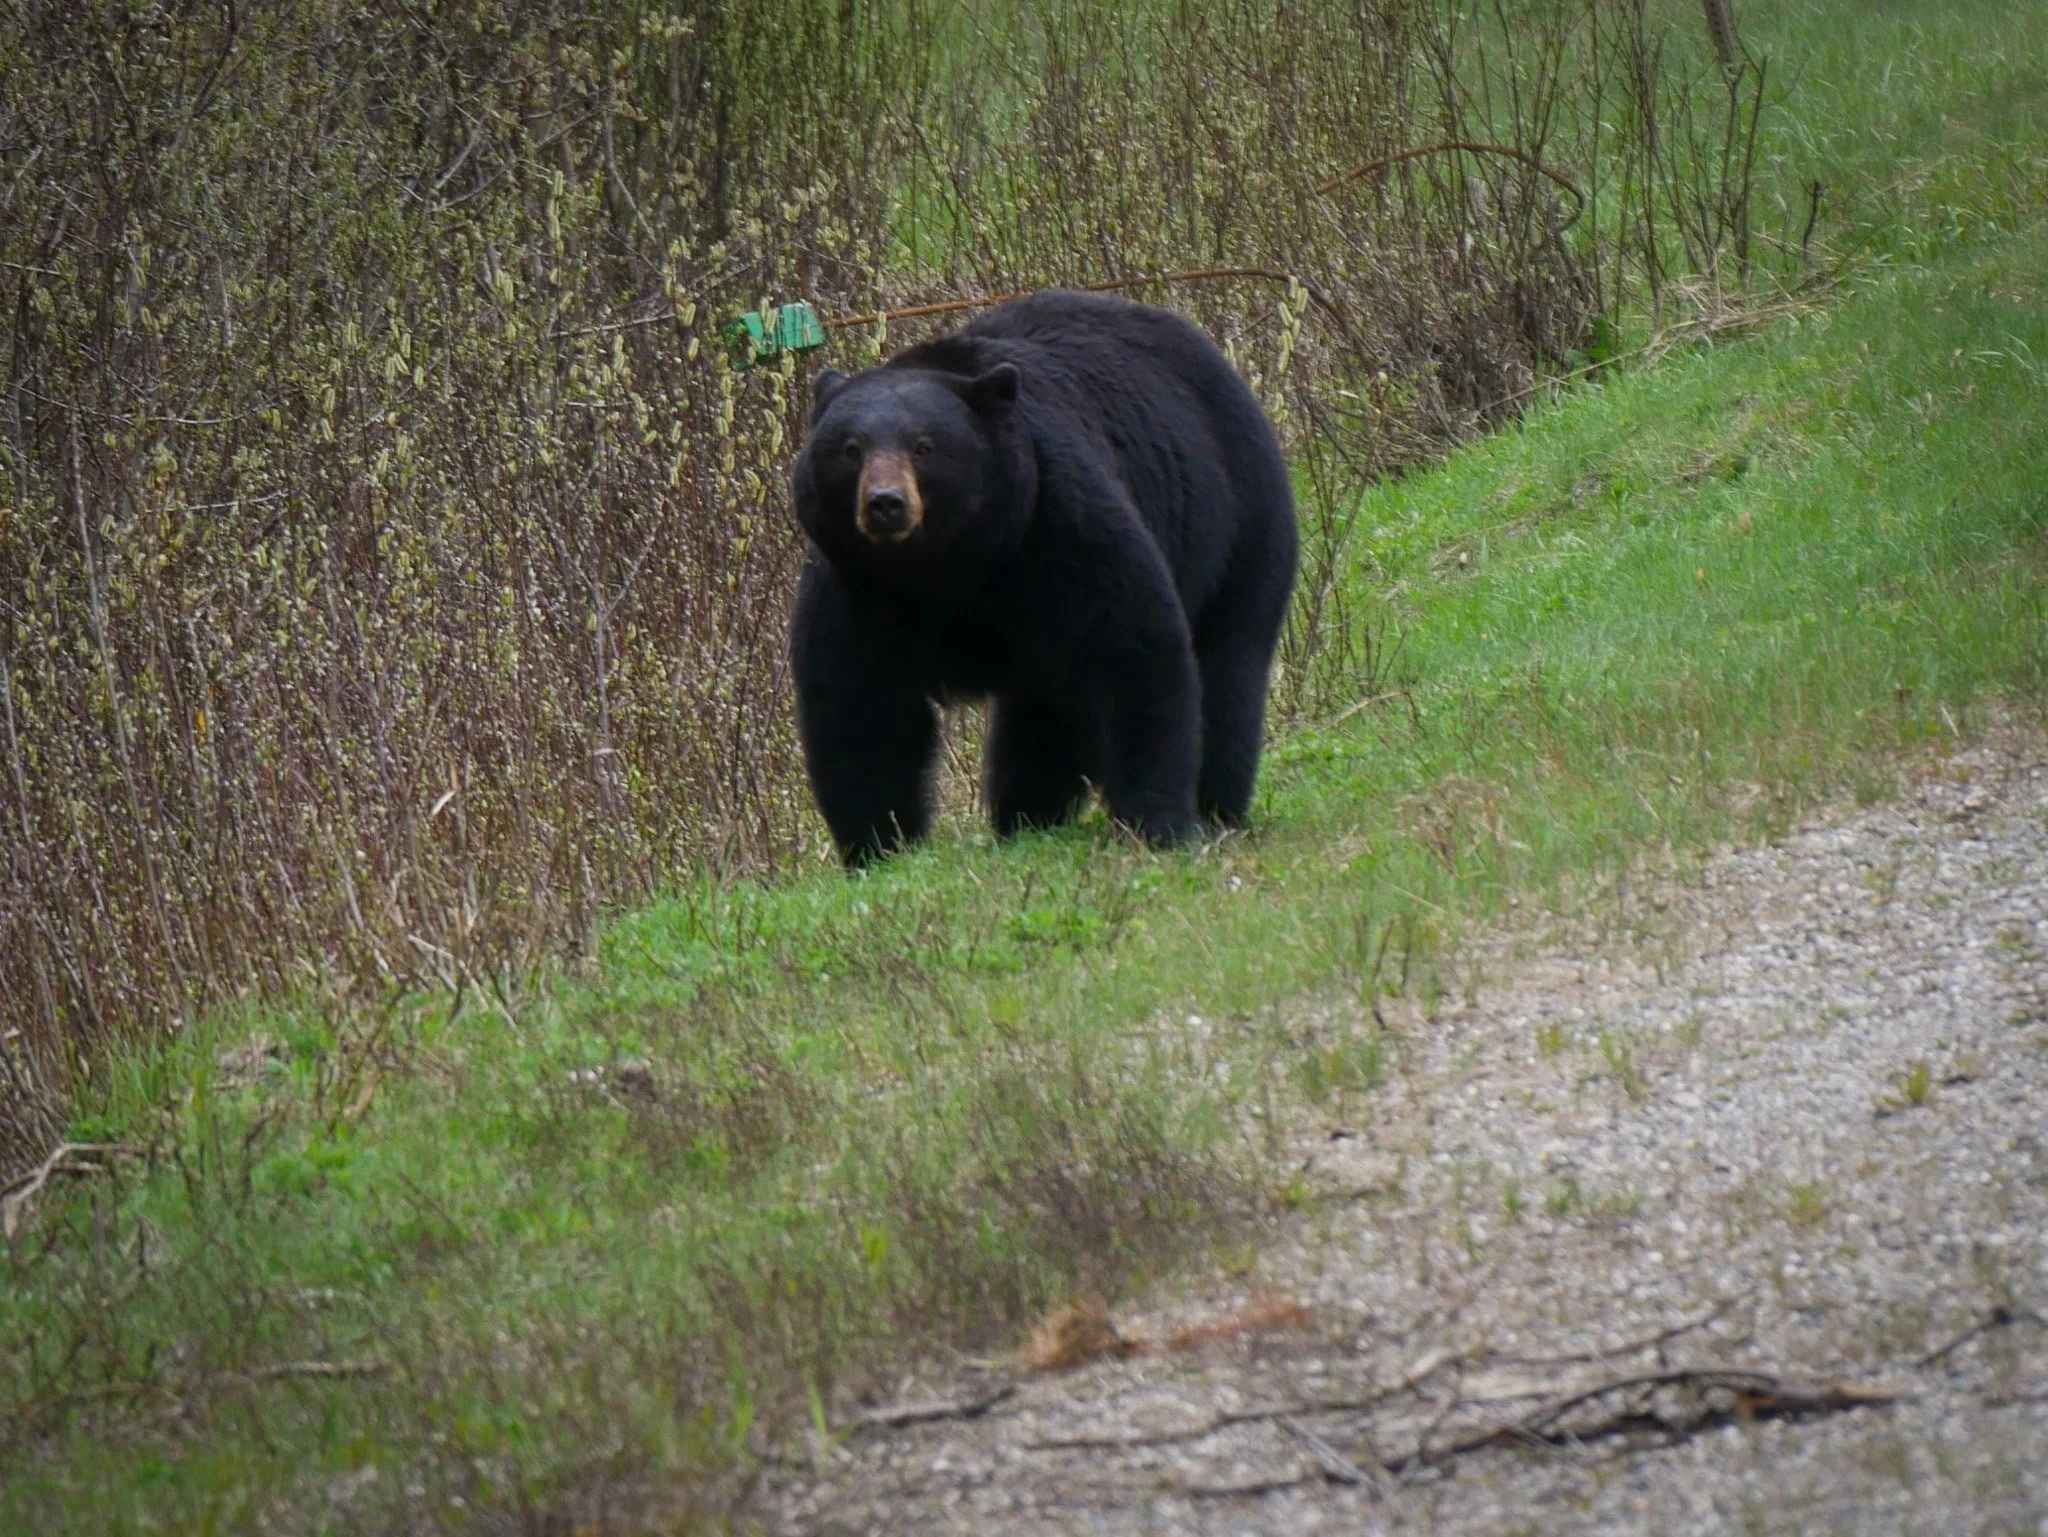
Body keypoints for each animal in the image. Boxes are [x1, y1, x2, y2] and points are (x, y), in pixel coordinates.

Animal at [788, 290, 1298, 867]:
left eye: (924, 446)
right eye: (850, 449)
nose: (885, 504)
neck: (946, 564)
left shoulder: (1055, 526)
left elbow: (1133, 651)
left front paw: (1156, 824)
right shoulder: (858, 585)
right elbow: (860, 702)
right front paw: (878, 846)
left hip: (1239, 523)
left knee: (1228, 664)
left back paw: (1216, 807)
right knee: (1041, 718)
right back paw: (1027, 819)